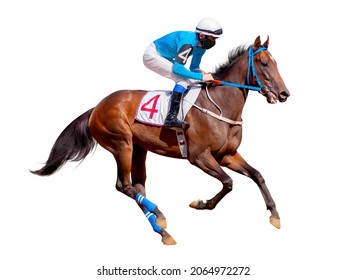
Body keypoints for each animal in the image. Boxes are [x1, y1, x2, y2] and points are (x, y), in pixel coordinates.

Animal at [31, 36, 290, 244]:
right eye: (264, 63)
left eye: (276, 63)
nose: (284, 94)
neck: (221, 105)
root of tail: (96, 107)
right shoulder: (199, 157)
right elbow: (228, 183)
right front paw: (201, 203)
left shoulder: (226, 155)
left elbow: (257, 175)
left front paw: (275, 215)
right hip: (121, 143)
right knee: (124, 186)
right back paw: (159, 217)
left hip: (138, 149)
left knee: (137, 186)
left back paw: (162, 227)